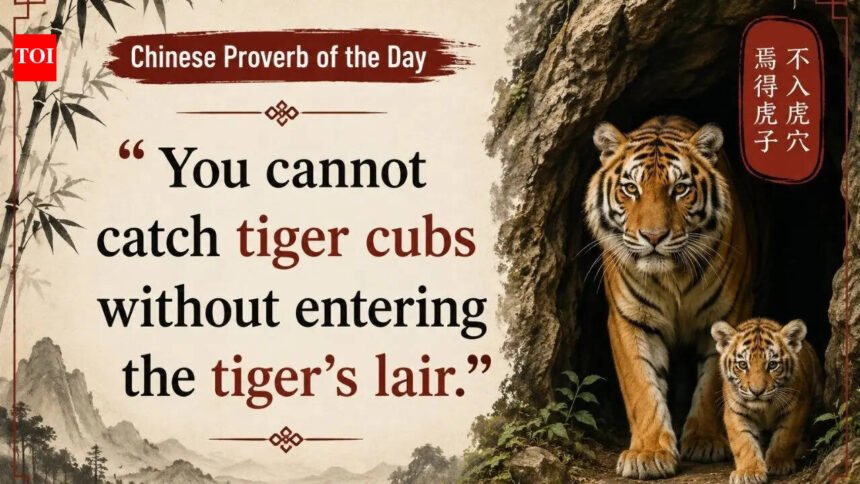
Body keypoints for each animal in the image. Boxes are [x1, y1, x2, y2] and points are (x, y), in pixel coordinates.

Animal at [584, 116, 755, 479]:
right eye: (630, 188)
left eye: (680, 189)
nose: (653, 237)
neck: (672, 276)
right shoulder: (629, 319)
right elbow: (641, 386)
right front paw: (648, 454)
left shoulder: (729, 314)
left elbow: (713, 385)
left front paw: (706, 441)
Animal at [711, 318, 823, 484]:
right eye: (742, 365)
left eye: (772, 364)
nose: (757, 392)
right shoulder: (735, 412)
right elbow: (743, 442)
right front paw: (749, 472)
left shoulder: (797, 407)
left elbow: (785, 437)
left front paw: (778, 464)